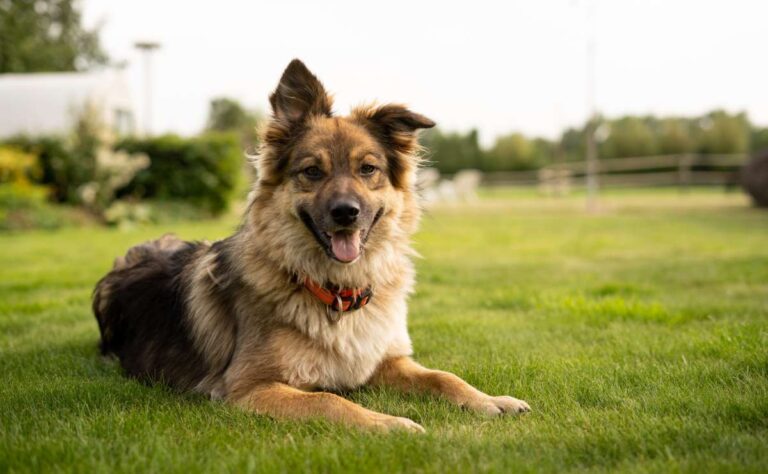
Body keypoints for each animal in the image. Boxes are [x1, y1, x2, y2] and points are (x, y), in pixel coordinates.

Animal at [93, 57, 532, 432]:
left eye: (367, 169)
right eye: (312, 171)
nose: (346, 213)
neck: (334, 290)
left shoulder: (385, 360)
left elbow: (444, 376)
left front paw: (491, 400)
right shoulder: (249, 386)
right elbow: (329, 400)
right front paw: (389, 423)